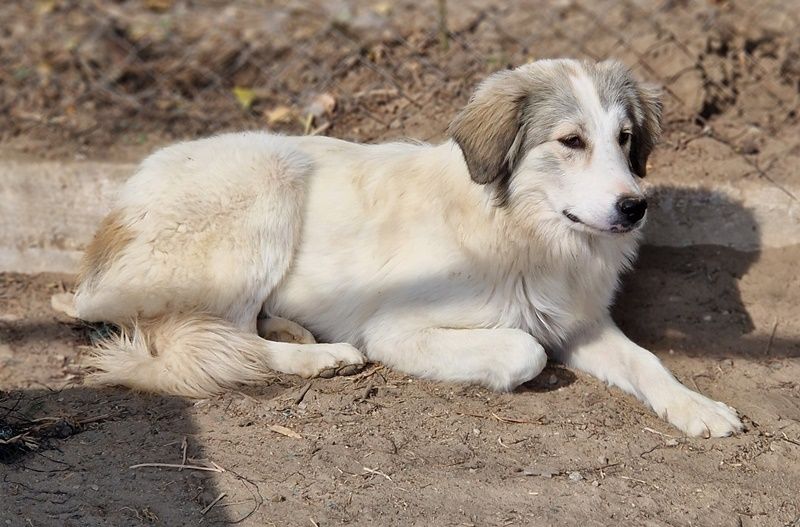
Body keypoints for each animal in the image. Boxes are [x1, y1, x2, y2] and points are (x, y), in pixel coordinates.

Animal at [74, 58, 742, 437]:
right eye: (571, 141)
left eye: (625, 138)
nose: (635, 207)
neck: (522, 230)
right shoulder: (397, 329)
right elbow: (524, 349)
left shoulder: (578, 323)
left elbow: (648, 362)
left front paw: (698, 408)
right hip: (269, 180)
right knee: (219, 339)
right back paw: (320, 357)